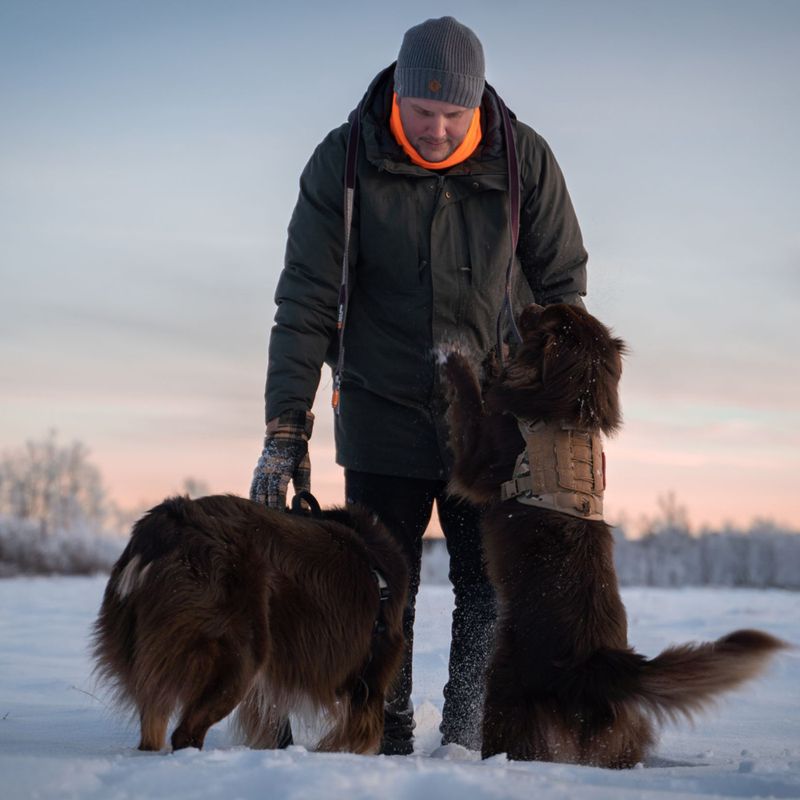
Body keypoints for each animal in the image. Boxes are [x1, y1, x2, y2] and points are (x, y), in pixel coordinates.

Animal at [444, 304, 788, 764]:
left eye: (543, 315)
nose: (527, 304)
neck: (568, 408)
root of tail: (599, 663)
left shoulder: (477, 467)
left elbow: (469, 406)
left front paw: (457, 359)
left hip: (502, 687)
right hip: (621, 731)